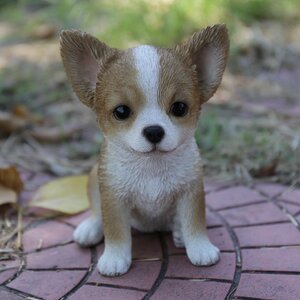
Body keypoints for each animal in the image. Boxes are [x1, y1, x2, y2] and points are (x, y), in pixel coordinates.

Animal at [59, 25, 229, 276]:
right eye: (121, 111)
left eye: (179, 108)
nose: (154, 131)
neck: (152, 167)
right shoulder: (113, 199)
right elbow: (115, 230)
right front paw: (114, 257)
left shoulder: (191, 193)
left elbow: (195, 222)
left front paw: (200, 247)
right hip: (92, 178)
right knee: (97, 212)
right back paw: (90, 228)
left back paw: (178, 231)